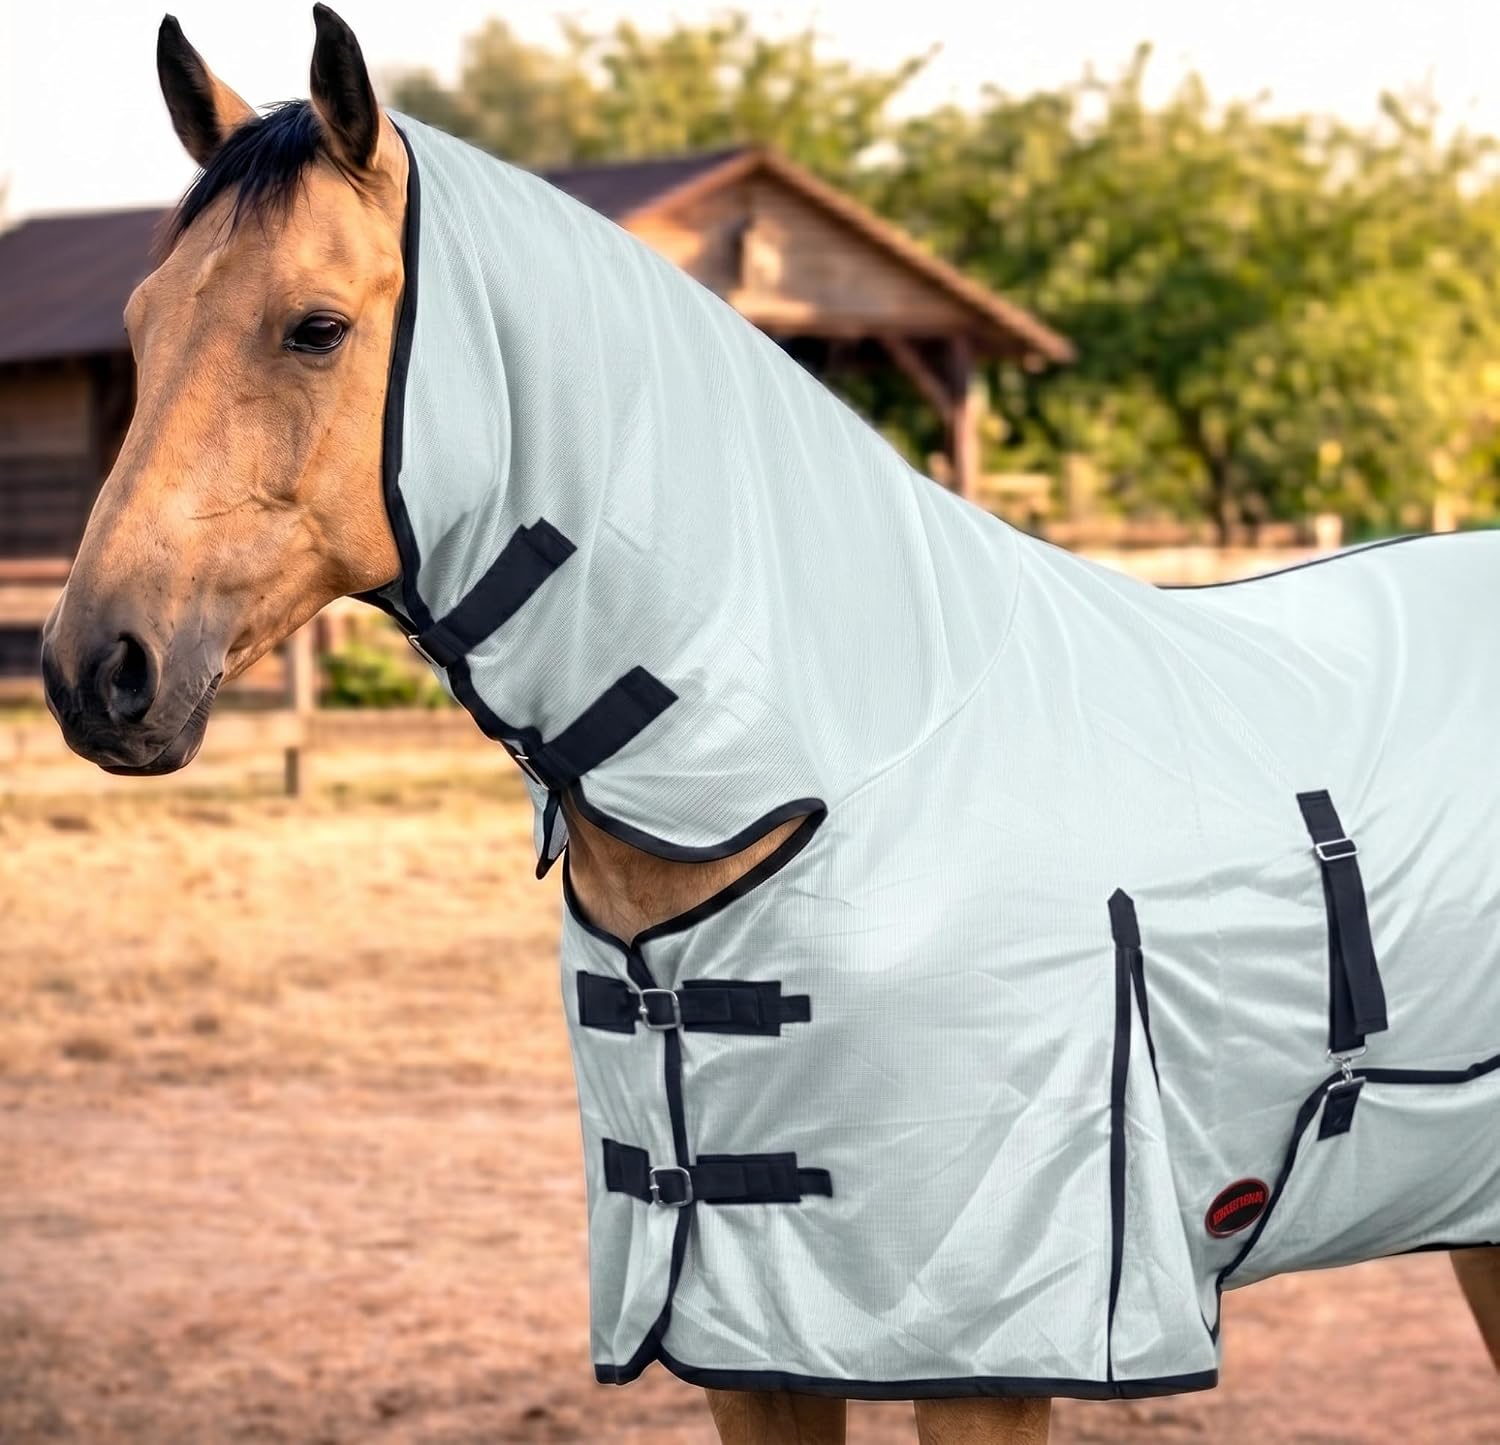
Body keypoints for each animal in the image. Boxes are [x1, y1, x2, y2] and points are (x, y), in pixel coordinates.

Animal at [41, 9, 1500, 1443]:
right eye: (142, 321)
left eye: (316, 326)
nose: (93, 669)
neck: (830, 766)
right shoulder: (750, 1341)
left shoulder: (985, 1345)